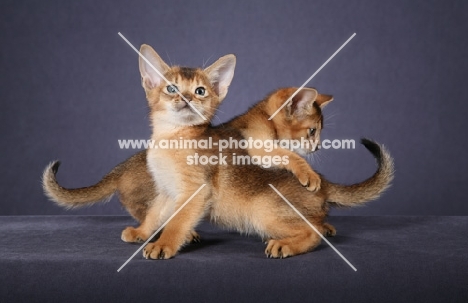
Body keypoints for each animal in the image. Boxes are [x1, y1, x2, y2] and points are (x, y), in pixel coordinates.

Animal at [44, 45, 394, 258]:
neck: (171, 138)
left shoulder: (195, 191)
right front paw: (146, 233)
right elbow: (158, 213)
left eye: (200, 91)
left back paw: (286, 244)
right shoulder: (168, 192)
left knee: (315, 231)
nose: (185, 97)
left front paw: (164, 245)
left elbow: (177, 221)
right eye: (171, 88)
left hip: (263, 211)